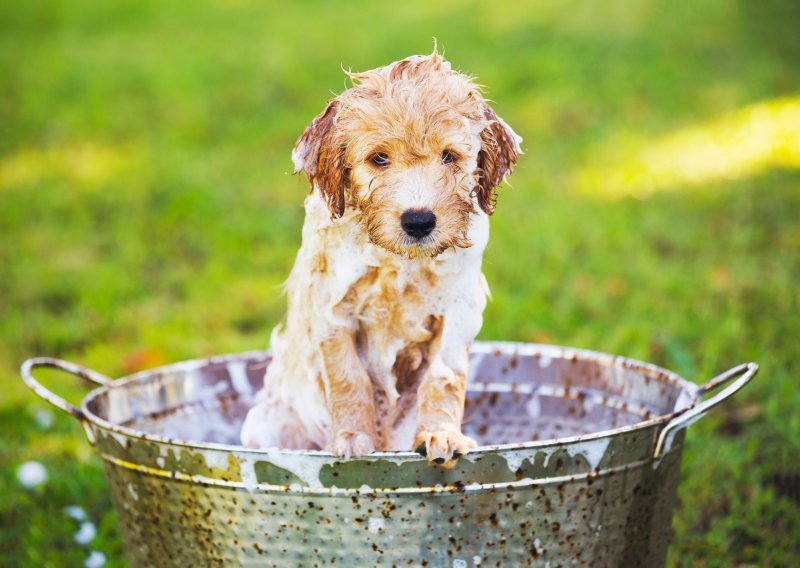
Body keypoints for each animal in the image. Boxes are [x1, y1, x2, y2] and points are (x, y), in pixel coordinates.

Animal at [241, 50, 520, 466]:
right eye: (379, 159)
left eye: (449, 157)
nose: (419, 220)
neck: (398, 262)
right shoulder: (333, 309)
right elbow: (348, 377)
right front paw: (353, 438)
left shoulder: (458, 310)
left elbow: (444, 377)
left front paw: (441, 433)